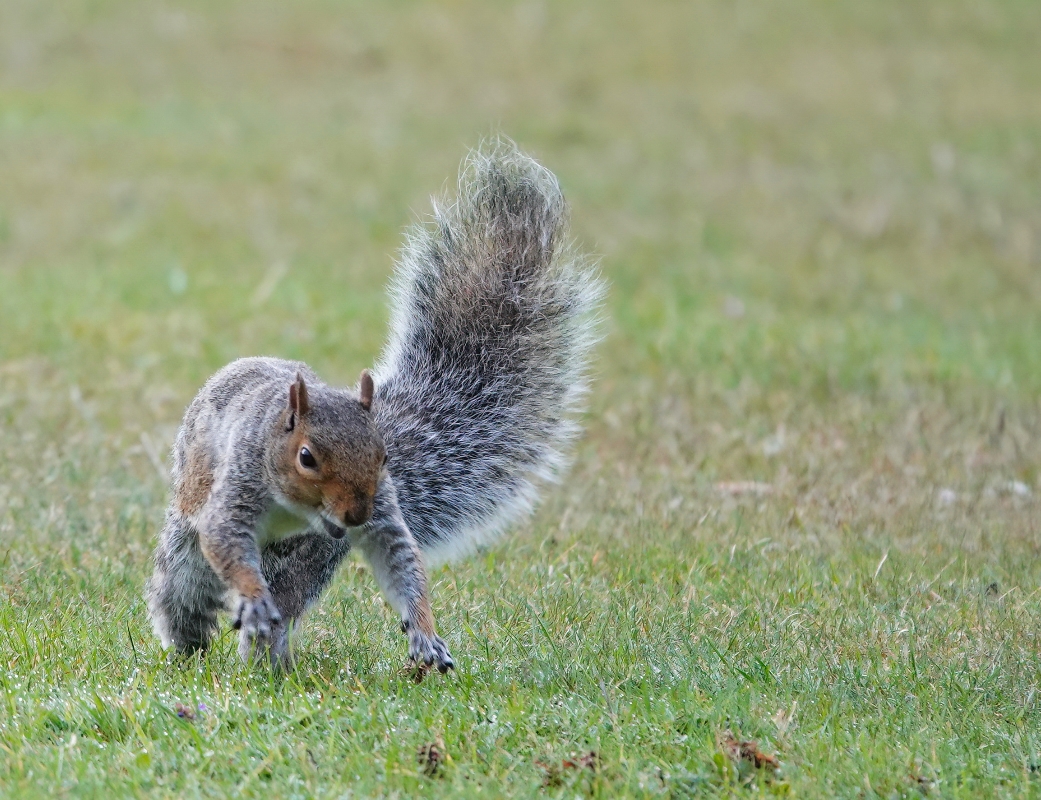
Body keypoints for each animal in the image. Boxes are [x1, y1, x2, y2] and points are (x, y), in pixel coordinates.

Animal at [145, 141, 603, 671]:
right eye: (306, 457)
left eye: (384, 456)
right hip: (189, 546)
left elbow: (399, 555)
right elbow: (225, 539)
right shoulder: (237, 485)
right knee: (184, 595)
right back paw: (194, 650)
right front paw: (250, 595)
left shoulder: (379, 509)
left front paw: (425, 631)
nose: (355, 515)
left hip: (307, 557)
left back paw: (269, 662)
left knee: (284, 601)